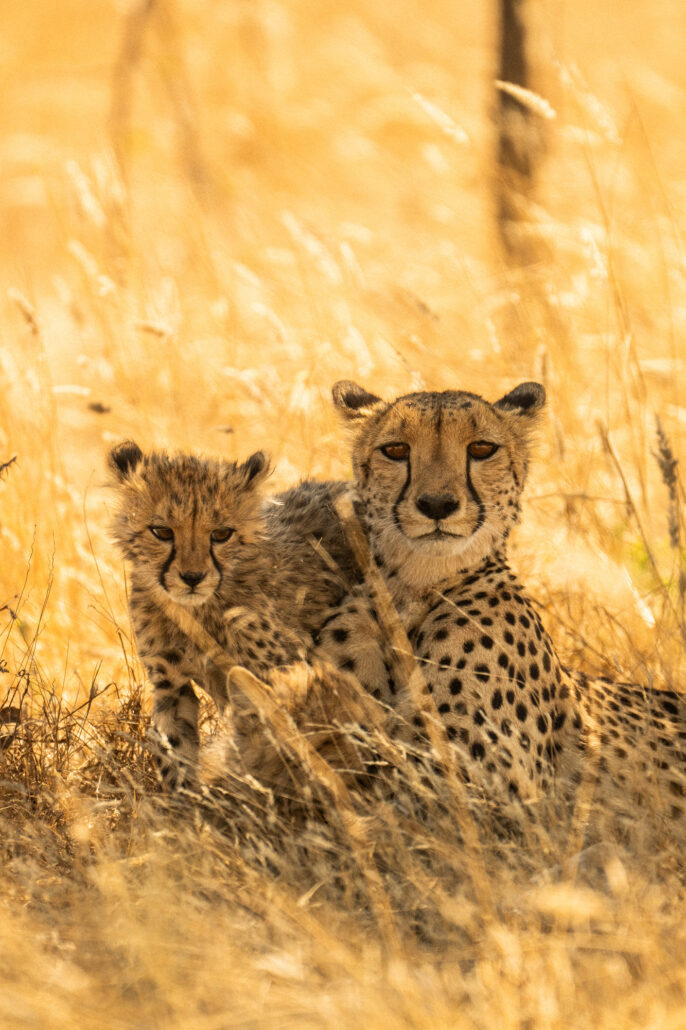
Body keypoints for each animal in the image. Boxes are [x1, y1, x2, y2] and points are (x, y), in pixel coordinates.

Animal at [108, 440, 361, 789]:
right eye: (162, 531)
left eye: (221, 534)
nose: (192, 577)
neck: (197, 610)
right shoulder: (171, 685)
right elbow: (175, 749)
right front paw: (181, 800)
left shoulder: (277, 676)